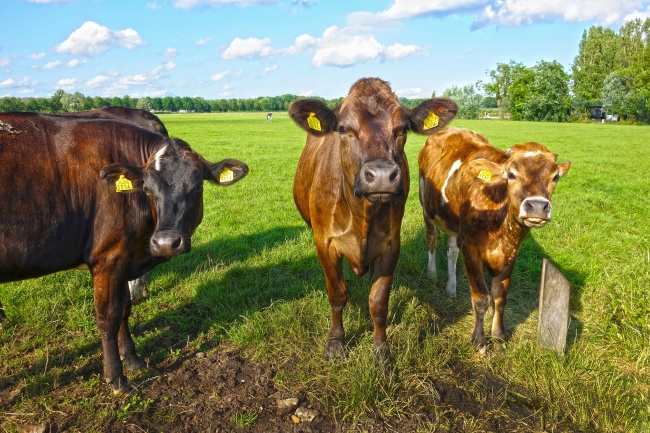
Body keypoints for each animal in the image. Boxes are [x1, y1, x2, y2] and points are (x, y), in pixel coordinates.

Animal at [0, 112, 248, 394]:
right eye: (148, 189)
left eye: (197, 186)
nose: (166, 243)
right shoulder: (108, 259)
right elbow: (108, 317)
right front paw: (117, 377)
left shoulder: (123, 260)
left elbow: (124, 309)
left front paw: (132, 359)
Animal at [288, 77, 456, 358]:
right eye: (343, 128)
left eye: (402, 129)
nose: (381, 176)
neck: (361, 216)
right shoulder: (325, 243)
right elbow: (337, 295)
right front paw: (336, 342)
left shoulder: (390, 245)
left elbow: (378, 302)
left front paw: (381, 349)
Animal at [418, 125, 568, 348]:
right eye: (512, 174)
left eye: (555, 177)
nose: (537, 206)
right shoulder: (471, 248)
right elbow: (481, 299)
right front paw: (479, 341)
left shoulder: (511, 253)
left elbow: (499, 297)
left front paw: (498, 335)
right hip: (426, 208)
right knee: (431, 240)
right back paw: (432, 273)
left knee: (452, 252)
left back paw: (451, 288)